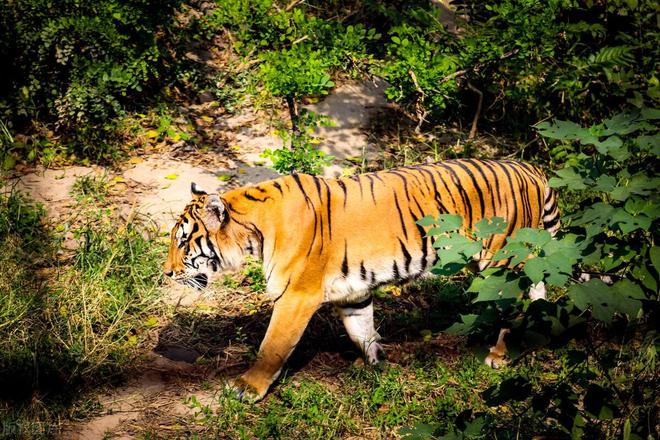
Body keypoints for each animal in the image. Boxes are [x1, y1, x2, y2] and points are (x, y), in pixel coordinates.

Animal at [165, 159, 564, 402]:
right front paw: (374, 366)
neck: (255, 230)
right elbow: (362, 330)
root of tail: (529, 168)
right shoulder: (353, 292)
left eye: (183, 241)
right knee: (538, 293)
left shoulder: (296, 295)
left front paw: (248, 387)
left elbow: (273, 346)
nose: (167, 273)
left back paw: (499, 355)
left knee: (511, 306)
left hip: (500, 263)